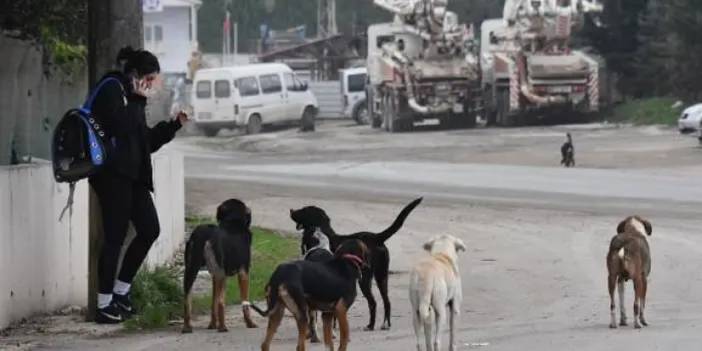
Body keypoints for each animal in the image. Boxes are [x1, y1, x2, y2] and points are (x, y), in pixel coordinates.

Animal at [182, 199, 258, 334]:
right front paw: (250, 323)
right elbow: (245, 303)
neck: (233, 222)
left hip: (191, 270)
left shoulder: (214, 276)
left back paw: (187, 327)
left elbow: (213, 302)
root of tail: (207, 235)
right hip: (222, 275)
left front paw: (212, 324)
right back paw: (223, 327)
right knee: (222, 302)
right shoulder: (244, 272)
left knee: (187, 299)